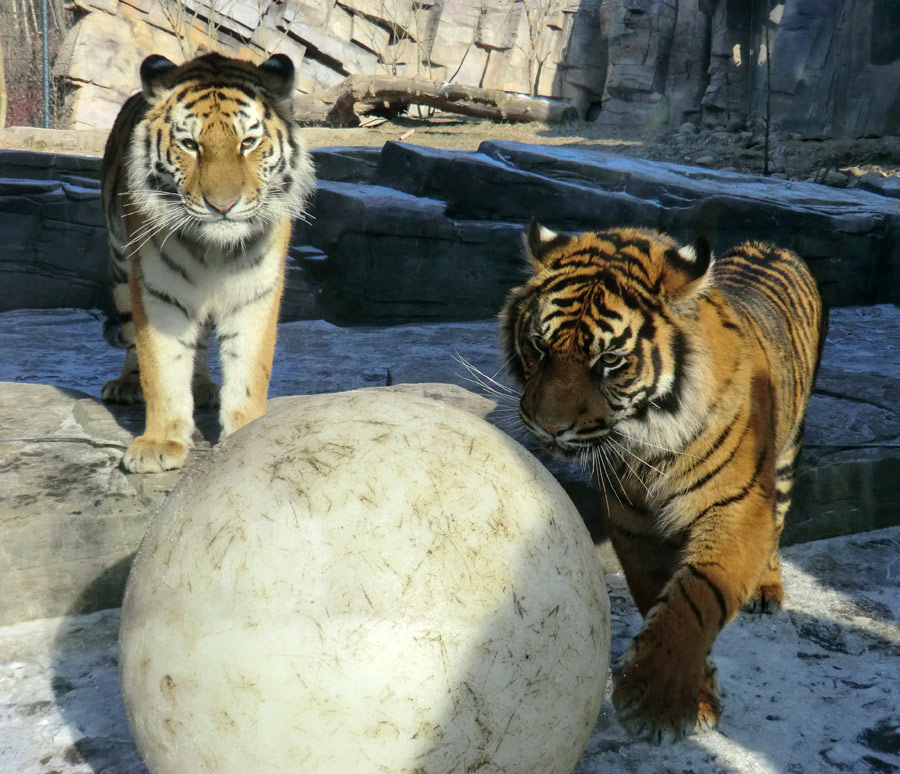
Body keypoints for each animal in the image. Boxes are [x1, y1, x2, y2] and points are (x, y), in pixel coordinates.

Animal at [98, 53, 314, 472]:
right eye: (190, 145)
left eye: (248, 142)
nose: (223, 206)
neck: (215, 249)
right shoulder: (157, 290)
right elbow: (160, 366)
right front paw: (159, 442)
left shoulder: (255, 290)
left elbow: (249, 365)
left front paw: (247, 432)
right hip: (118, 265)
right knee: (132, 334)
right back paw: (127, 384)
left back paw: (201, 388)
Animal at [502, 221, 828, 744]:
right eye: (538, 346)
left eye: (610, 361)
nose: (549, 427)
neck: (645, 440)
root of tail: (771, 243)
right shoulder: (633, 520)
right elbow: (661, 594)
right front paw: (696, 694)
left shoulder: (736, 506)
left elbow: (697, 598)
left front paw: (655, 701)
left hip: (783, 459)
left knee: (776, 522)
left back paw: (766, 589)